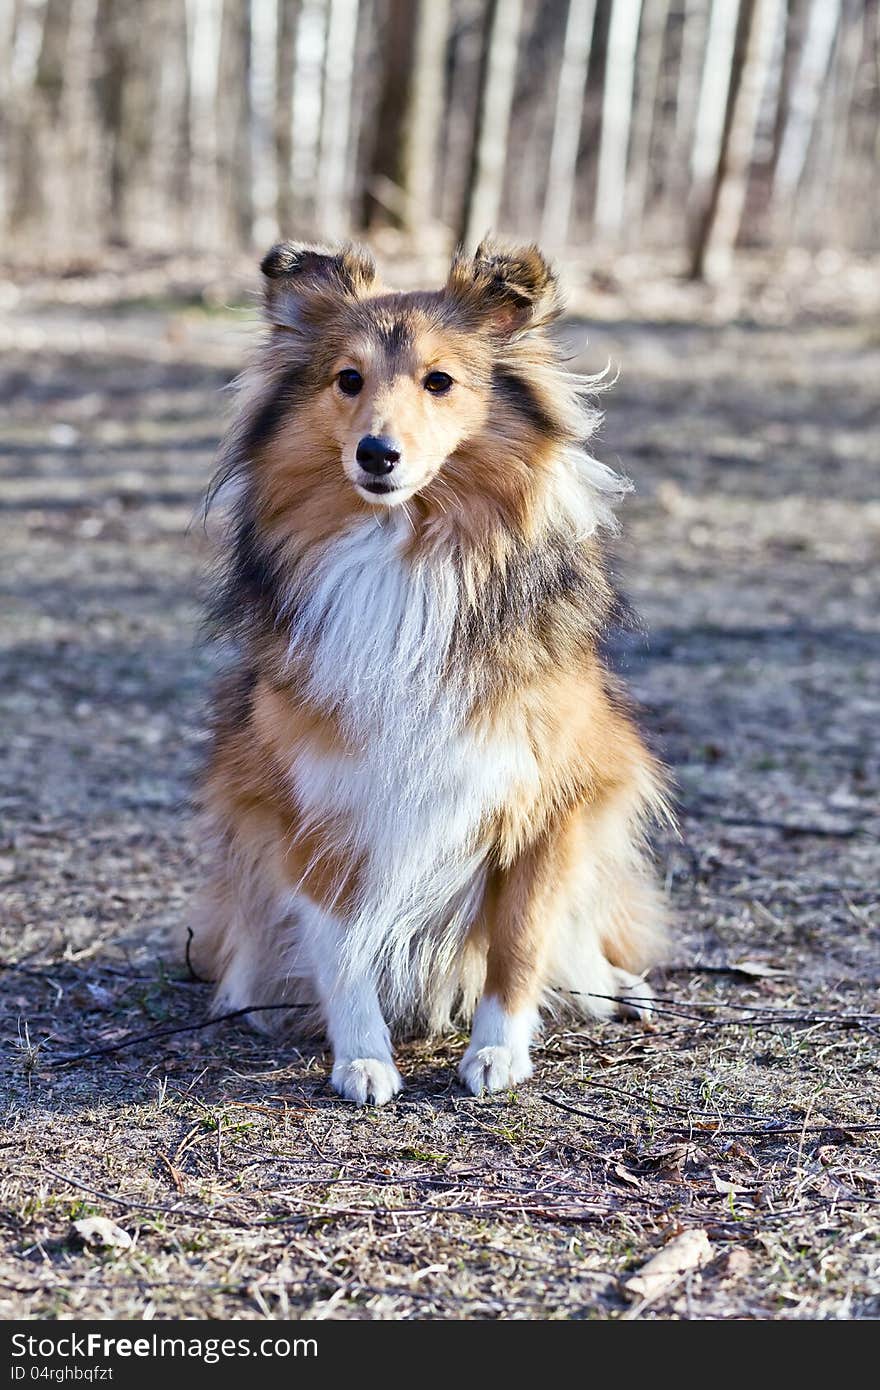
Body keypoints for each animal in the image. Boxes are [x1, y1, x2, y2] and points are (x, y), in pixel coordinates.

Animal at [189, 241, 670, 1106]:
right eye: (347, 379)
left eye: (438, 381)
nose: (376, 455)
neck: (405, 553)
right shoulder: (313, 797)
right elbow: (342, 943)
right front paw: (363, 1059)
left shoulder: (553, 797)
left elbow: (522, 939)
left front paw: (499, 1052)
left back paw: (612, 986)